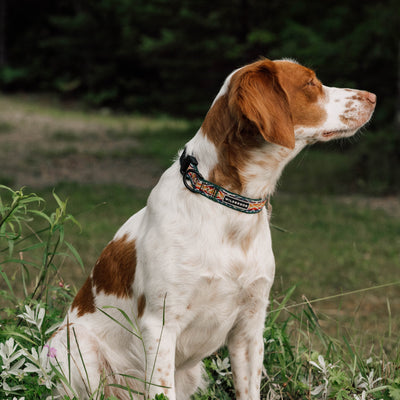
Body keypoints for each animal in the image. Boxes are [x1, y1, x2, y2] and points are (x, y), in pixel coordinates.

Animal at [48, 57, 376, 400]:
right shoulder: (160, 325)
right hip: (76, 350)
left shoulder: (250, 327)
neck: (226, 207)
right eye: (311, 83)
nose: (373, 97)